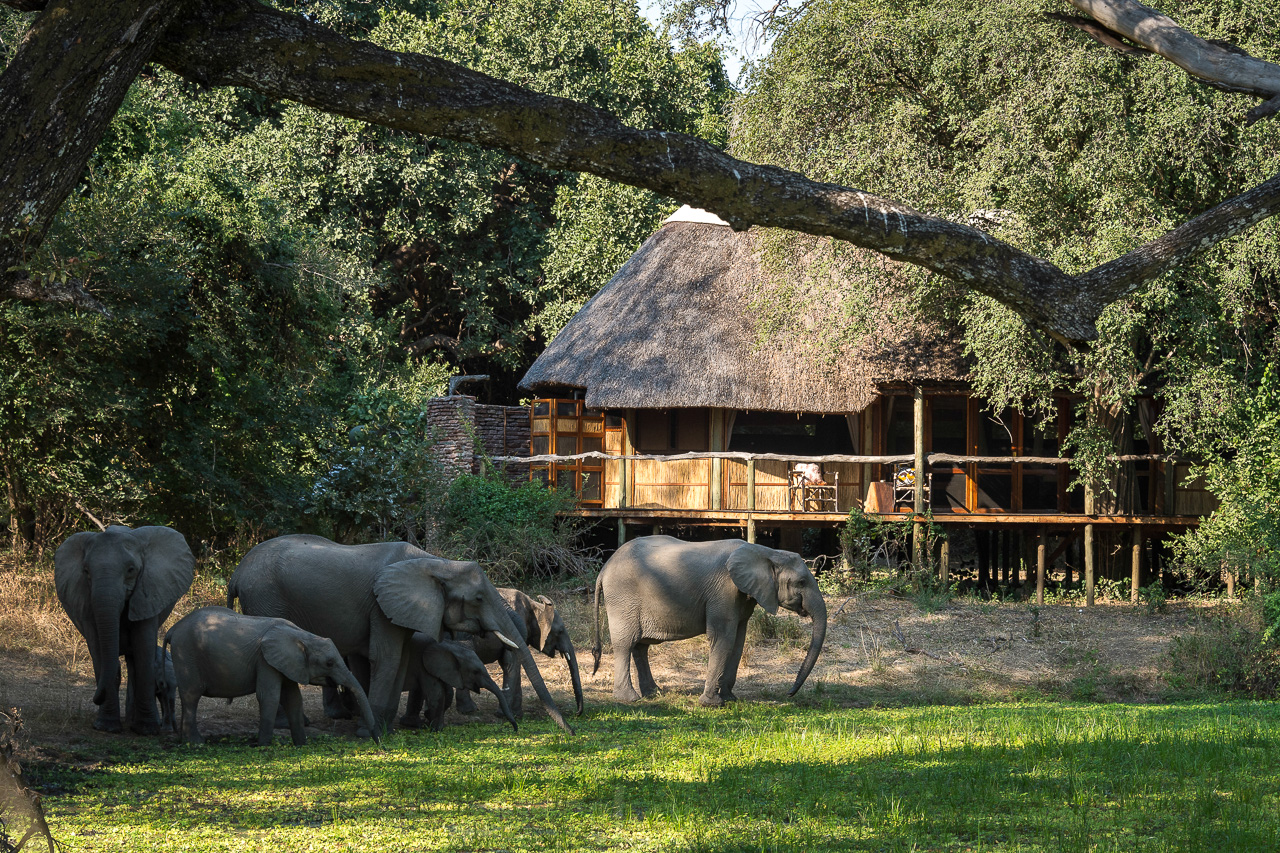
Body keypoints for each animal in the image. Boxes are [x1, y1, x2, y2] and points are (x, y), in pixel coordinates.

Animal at [53, 525, 193, 732]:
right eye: (86, 571)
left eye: (131, 570)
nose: (95, 698)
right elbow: (100, 654)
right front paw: (106, 727)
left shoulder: (148, 594)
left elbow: (143, 650)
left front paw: (147, 730)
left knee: (134, 663)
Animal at [162, 604, 378, 742]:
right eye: (329, 663)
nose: (377, 742)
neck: (302, 636)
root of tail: (172, 629)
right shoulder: (265, 660)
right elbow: (270, 696)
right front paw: (263, 745)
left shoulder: (287, 663)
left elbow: (293, 699)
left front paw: (301, 744)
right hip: (186, 653)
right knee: (192, 696)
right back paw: (196, 743)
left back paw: (184, 740)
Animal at [453, 584, 583, 717]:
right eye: (560, 631)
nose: (577, 713)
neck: (534, 605)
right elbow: (510, 664)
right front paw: (503, 715)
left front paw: (517, 714)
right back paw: (469, 710)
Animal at [591, 535, 829, 706]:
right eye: (801, 582)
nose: (789, 694)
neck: (765, 552)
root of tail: (604, 569)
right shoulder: (723, 591)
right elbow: (723, 638)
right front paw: (712, 704)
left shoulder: (743, 595)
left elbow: (738, 641)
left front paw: (730, 699)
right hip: (622, 598)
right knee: (625, 644)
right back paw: (629, 699)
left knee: (641, 646)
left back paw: (654, 693)